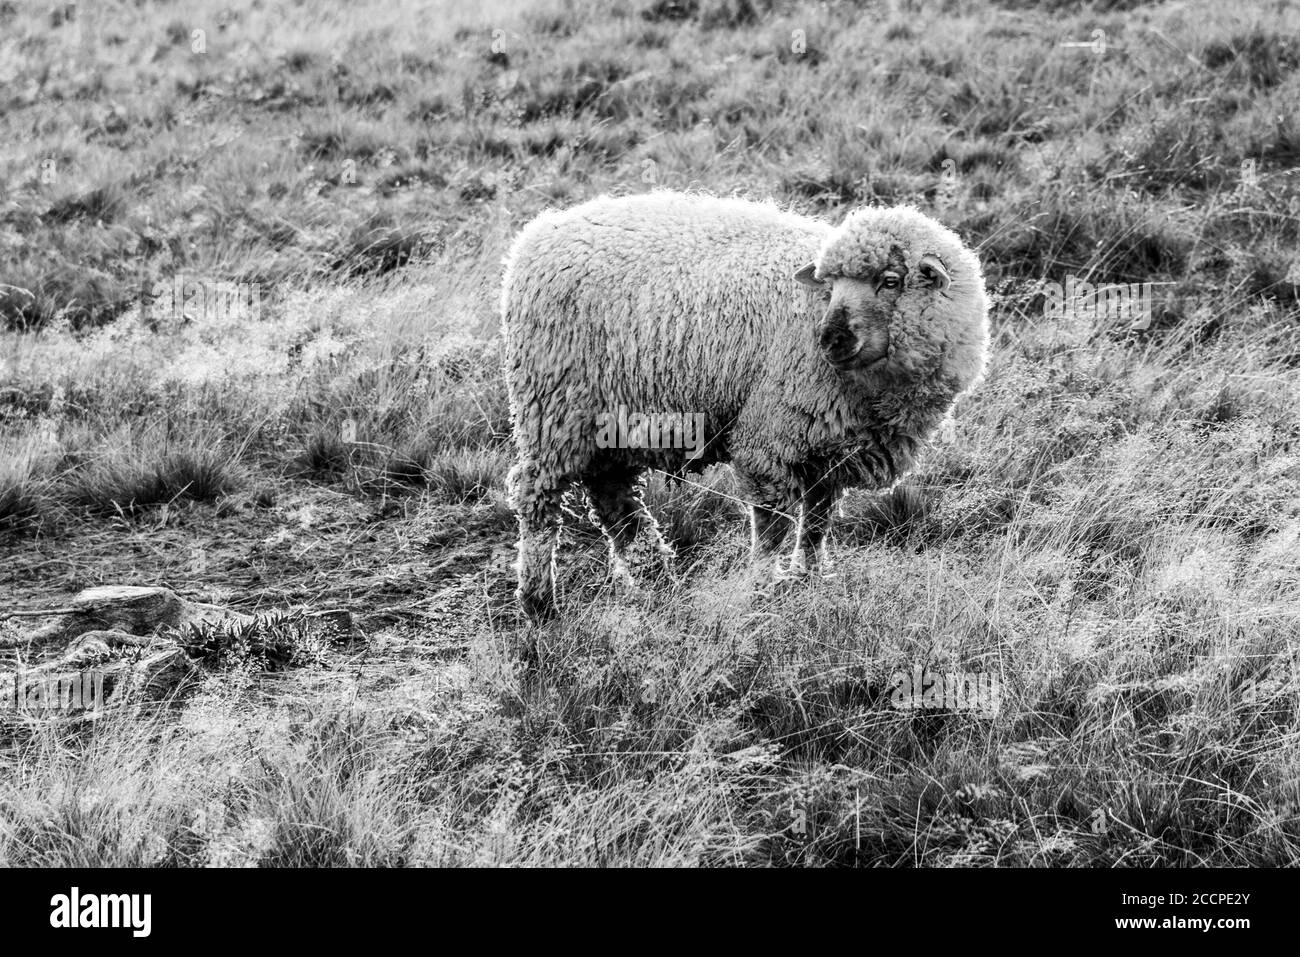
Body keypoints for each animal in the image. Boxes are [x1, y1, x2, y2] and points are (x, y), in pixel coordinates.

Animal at [501, 189, 987, 621]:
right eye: (829, 285)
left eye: (890, 281)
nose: (831, 340)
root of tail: (537, 234)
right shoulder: (770, 438)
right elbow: (771, 527)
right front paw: (760, 589)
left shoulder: (829, 448)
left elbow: (817, 522)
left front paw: (811, 582)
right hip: (553, 406)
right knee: (538, 498)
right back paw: (540, 603)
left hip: (610, 419)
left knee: (614, 500)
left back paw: (659, 581)